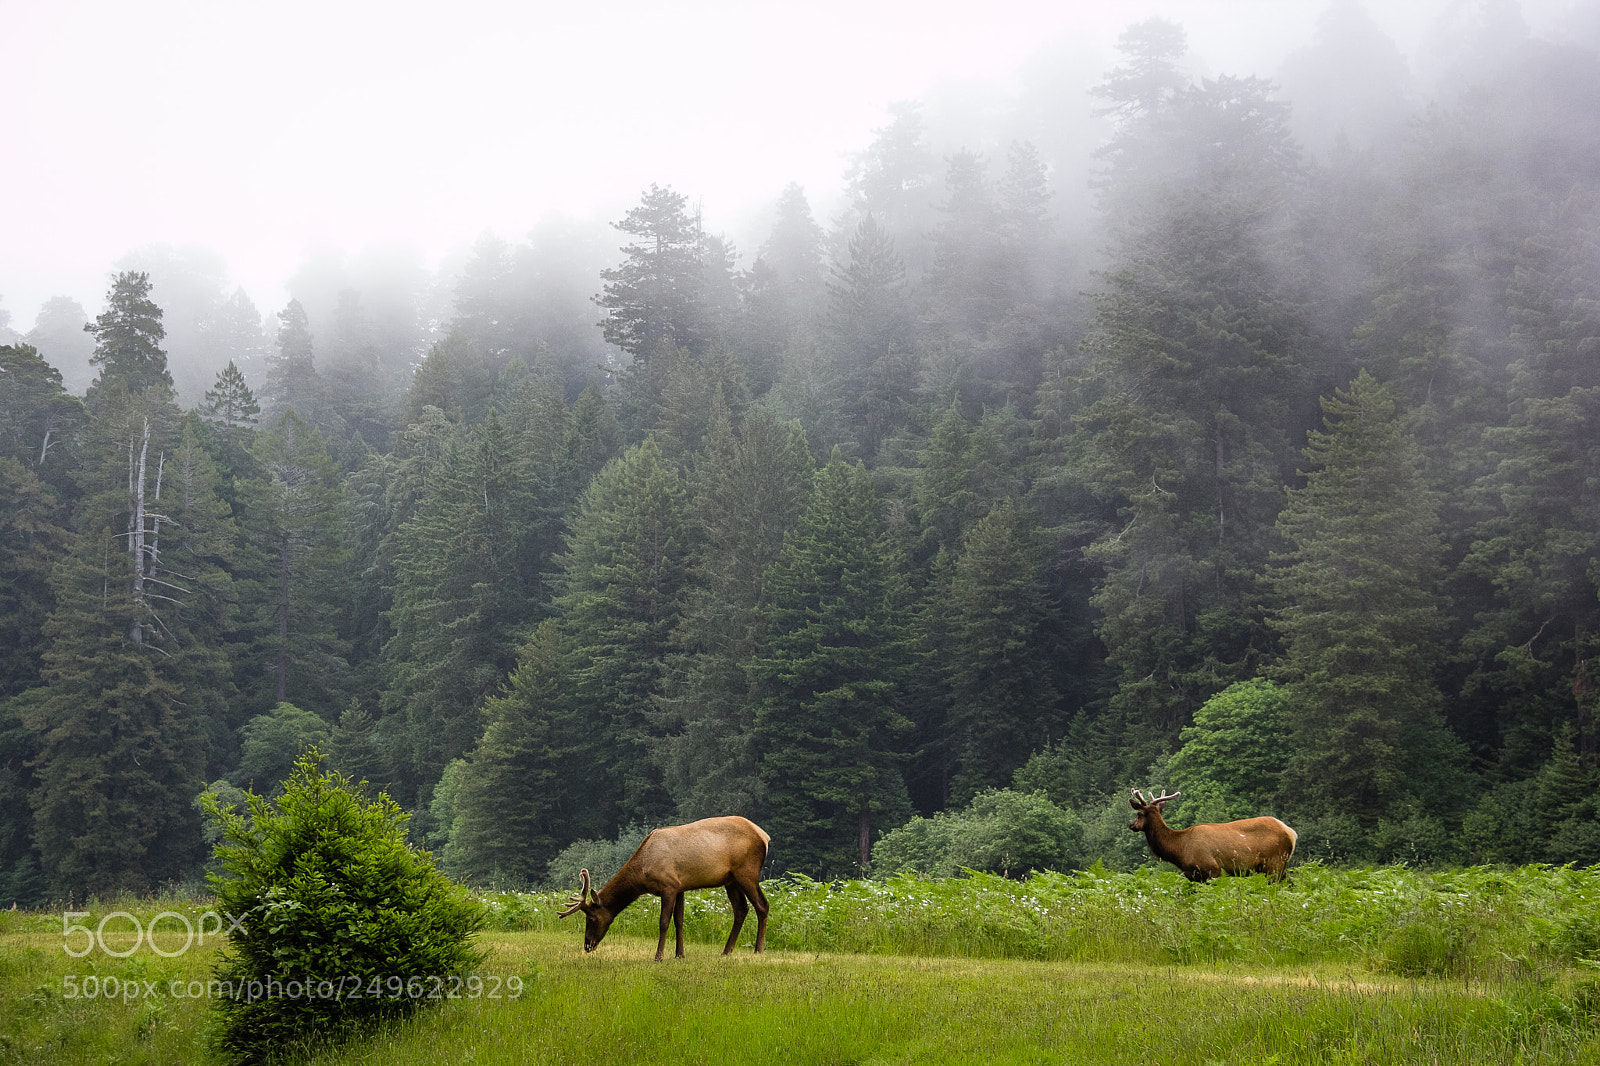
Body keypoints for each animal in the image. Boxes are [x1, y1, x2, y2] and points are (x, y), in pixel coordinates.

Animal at [556, 815, 771, 961]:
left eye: (592, 918)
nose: (587, 945)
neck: (642, 873)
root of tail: (765, 837)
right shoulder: (681, 887)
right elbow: (679, 920)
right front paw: (679, 954)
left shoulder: (669, 886)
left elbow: (664, 922)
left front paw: (659, 956)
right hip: (730, 880)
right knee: (741, 909)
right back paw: (726, 951)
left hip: (747, 872)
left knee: (762, 905)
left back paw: (758, 950)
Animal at [1127, 790, 1297, 882]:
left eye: (1139, 814)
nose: (1131, 825)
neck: (1180, 850)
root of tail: (1291, 833)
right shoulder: (1192, 875)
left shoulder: (1211, 869)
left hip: (1275, 863)